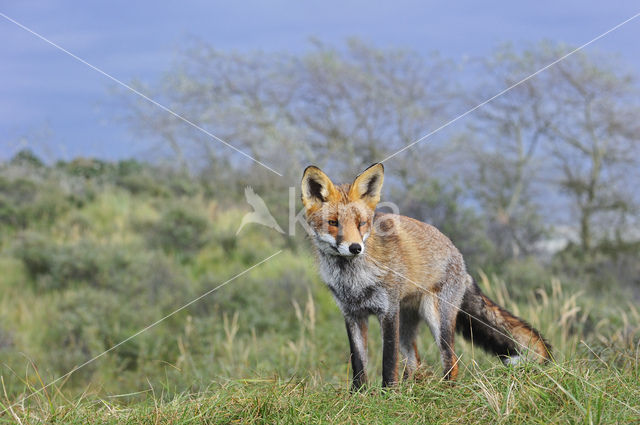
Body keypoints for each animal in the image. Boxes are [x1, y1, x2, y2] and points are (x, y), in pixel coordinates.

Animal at [300, 162, 552, 388]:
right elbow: (358, 364)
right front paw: (358, 396)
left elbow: (388, 362)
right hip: (407, 326)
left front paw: (387, 395)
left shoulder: (388, 311)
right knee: (415, 363)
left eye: (361, 223)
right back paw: (413, 391)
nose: (355, 248)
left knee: (451, 360)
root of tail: (459, 256)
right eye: (333, 223)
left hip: (437, 318)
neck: (353, 280)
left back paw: (443, 391)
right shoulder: (352, 315)